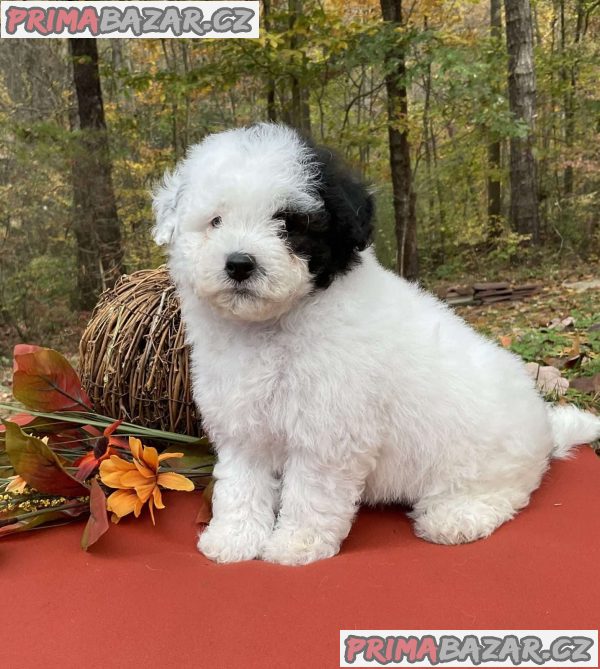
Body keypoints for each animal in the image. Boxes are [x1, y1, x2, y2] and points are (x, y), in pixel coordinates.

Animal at [151, 121, 600, 564]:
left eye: (291, 225)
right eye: (216, 221)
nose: (240, 263)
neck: (271, 326)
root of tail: (545, 431)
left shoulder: (329, 430)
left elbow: (311, 491)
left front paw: (297, 544)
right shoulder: (241, 423)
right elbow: (240, 483)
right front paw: (234, 537)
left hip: (483, 458)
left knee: (504, 492)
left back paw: (456, 516)